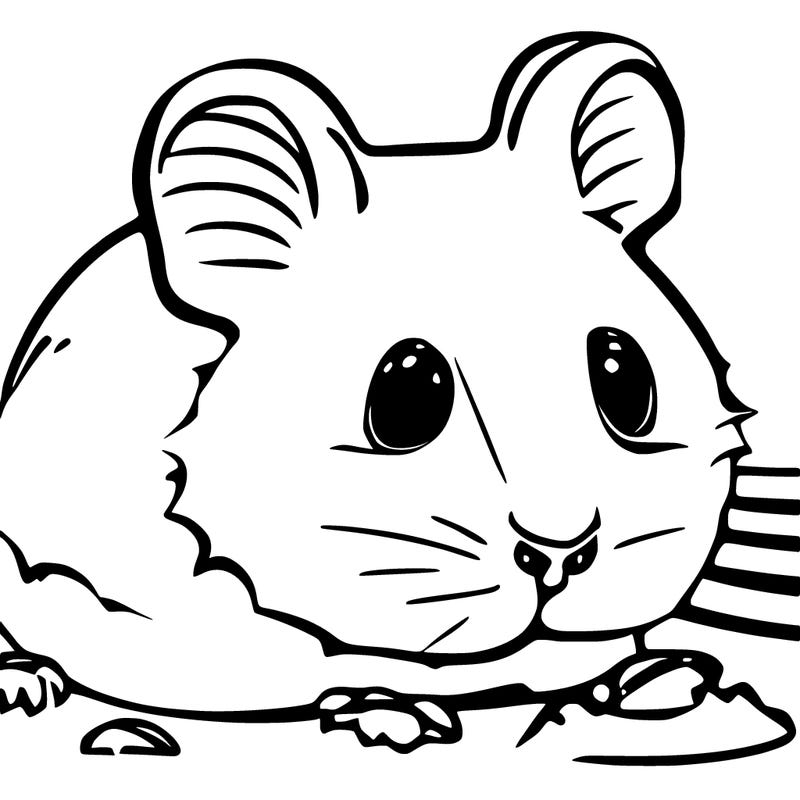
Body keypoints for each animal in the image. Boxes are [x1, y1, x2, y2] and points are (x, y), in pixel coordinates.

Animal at [0, 32, 790, 757]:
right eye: (406, 397)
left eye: (626, 382)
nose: (560, 554)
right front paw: (391, 715)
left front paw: (660, 677)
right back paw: (25, 680)